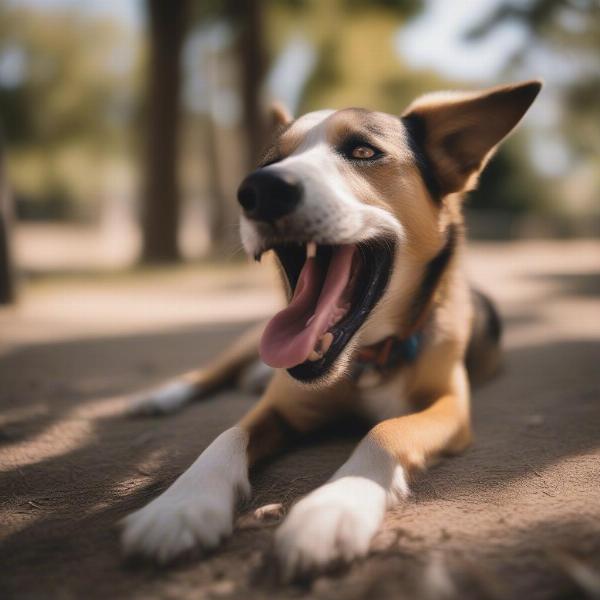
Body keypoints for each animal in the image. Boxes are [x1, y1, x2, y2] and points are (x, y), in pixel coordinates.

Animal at [119, 81, 540, 580]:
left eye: (363, 151)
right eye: (268, 162)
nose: (261, 188)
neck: (367, 359)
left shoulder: (450, 407)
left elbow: (385, 431)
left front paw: (332, 508)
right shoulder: (280, 405)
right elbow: (228, 434)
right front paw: (181, 504)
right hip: (252, 337)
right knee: (210, 374)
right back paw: (160, 397)